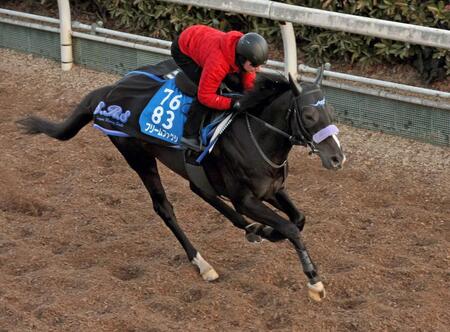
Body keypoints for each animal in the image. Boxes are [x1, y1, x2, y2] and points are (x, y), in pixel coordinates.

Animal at [16, 64, 344, 300]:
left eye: (331, 111)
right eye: (308, 114)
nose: (337, 158)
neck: (257, 135)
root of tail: (107, 93)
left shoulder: (273, 190)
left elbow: (298, 219)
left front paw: (265, 231)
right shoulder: (245, 199)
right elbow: (289, 228)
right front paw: (314, 282)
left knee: (200, 189)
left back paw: (250, 230)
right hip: (137, 154)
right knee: (165, 207)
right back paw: (203, 263)